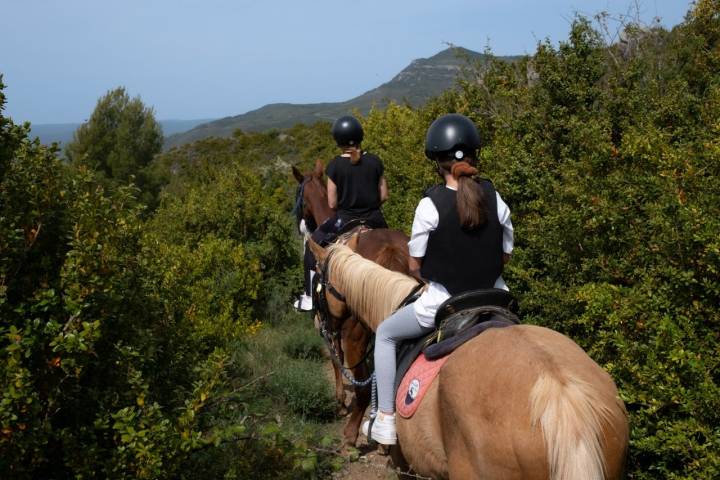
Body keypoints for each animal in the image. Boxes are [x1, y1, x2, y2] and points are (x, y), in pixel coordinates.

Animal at [290, 159, 408, 444]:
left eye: (298, 196)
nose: (302, 227)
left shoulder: (327, 326)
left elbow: (336, 359)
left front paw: (340, 400)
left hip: (355, 333)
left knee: (363, 386)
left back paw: (352, 432)